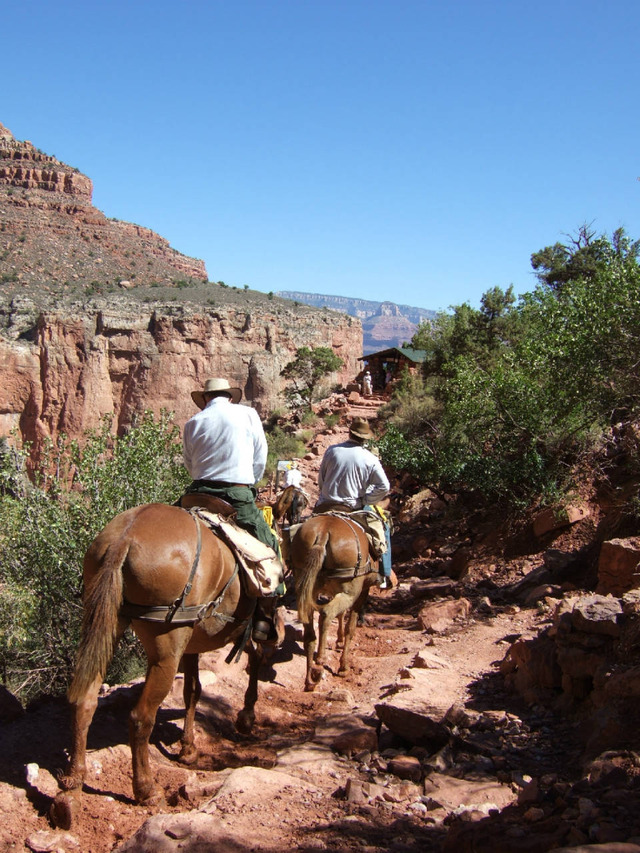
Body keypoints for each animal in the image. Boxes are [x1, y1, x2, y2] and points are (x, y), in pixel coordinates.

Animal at [52, 500, 268, 828]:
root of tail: (125, 538)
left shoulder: (190, 645)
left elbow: (193, 691)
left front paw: (188, 749)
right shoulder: (233, 633)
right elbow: (254, 659)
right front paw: (246, 716)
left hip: (109, 622)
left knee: (85, 700)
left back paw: (71, 788)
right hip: (165, 650)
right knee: (141, 717)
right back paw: (146, 790)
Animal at [287, 512, 380, 692]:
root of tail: (324, 532)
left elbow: (341, 615)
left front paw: (339, 640)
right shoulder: (361, 592)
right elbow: (351, 627)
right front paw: (344, 667)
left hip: (306, 584)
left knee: (310, 631)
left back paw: (309, 679)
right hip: (349, 591)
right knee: (326, 614)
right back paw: (319, 664)